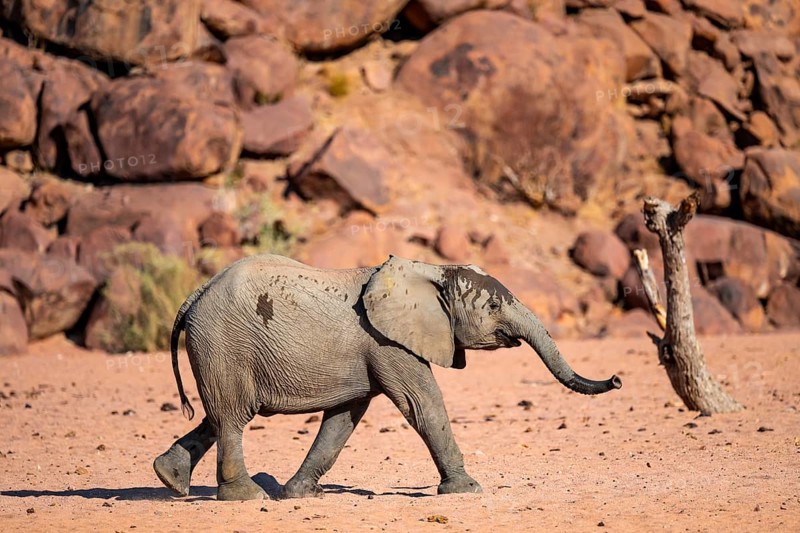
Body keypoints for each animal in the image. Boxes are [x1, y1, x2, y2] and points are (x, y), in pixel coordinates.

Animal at [153, 254, 621, 501]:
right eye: (492, 308)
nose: (616, 380)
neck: (432, 271)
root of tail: (194, 295)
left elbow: (341, 421)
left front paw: (300, 495)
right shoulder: (388, 343)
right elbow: (423, 405)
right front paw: (467, 490)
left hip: (218, 349)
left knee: (216, 416)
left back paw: (169, 479)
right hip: (224, 342)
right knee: (232, 418)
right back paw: (247, 497)